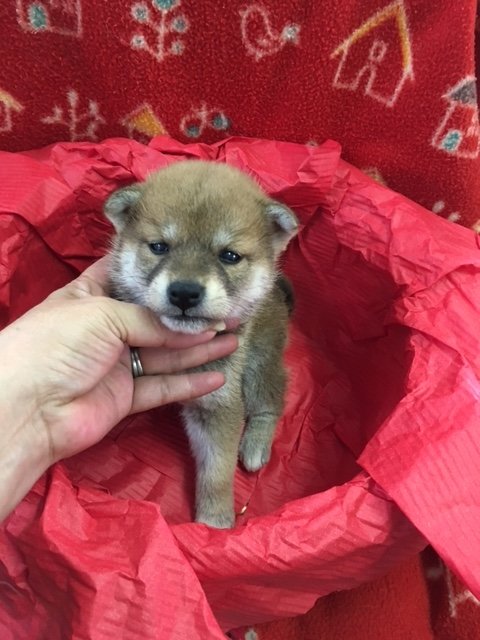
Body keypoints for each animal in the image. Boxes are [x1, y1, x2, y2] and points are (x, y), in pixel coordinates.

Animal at [104, 160, 298, 528]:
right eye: (160, 247)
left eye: (229, 255)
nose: (184, 292)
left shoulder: (218, 403)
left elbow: (217, 472)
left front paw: (214, 523)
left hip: (260, 362)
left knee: (270, 402)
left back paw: (255, 444)